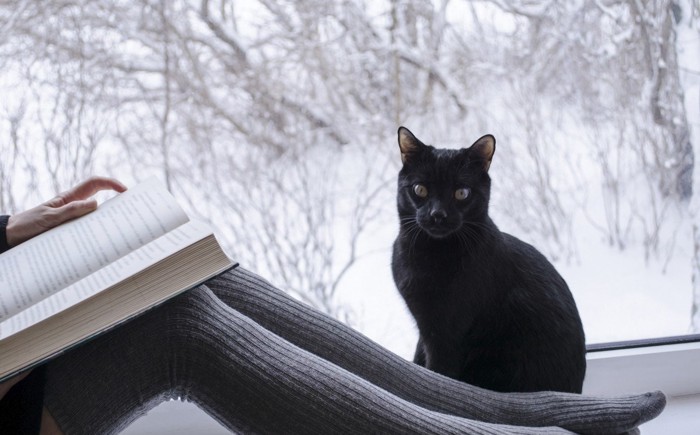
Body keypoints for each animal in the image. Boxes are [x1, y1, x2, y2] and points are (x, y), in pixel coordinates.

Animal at [394, 127, 584, 396]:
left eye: (462, 193)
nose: (437, 215)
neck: (427, 255)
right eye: (420, 189)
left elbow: (438, 373)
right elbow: (419, 358)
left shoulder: (445, 336)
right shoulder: (425, 328)